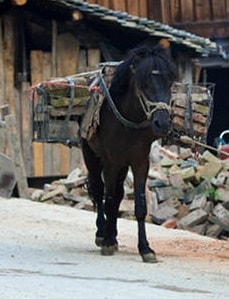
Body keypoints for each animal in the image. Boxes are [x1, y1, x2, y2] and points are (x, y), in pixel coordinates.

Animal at [81, 39, 176, 262]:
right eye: (144, 84)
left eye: (169, 84)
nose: (162, 123)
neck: (128, 123)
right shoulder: (111, 162)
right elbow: (107, 199)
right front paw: (107, 242)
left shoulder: (140, 162)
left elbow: (139, 206)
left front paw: (145, 249)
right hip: (91, 155)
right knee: (99, 190)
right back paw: (102, 234)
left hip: (123, 165)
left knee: (118, 194)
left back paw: (113, 234)